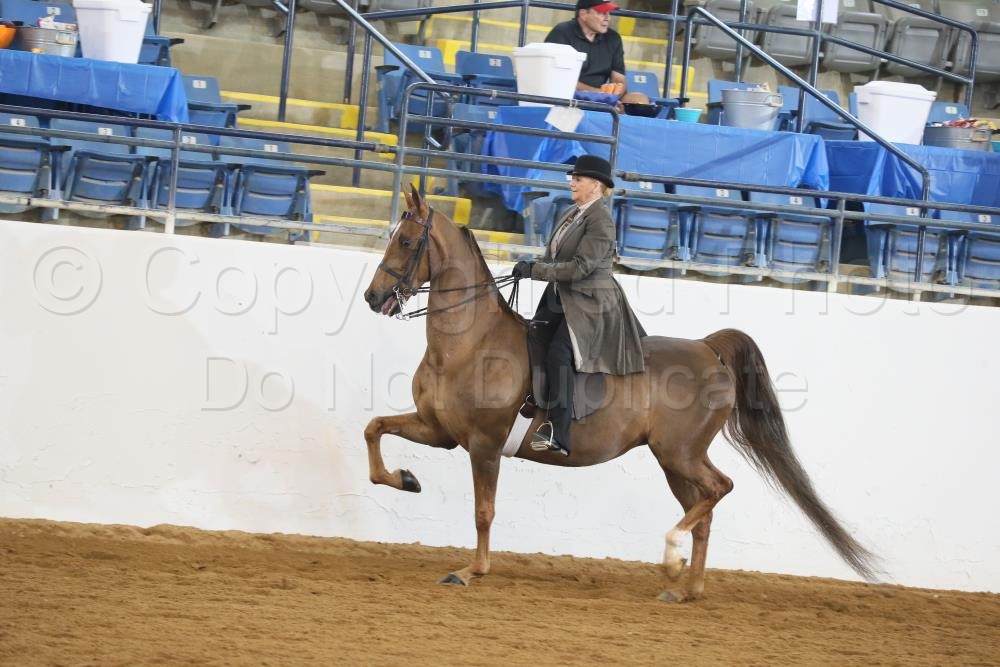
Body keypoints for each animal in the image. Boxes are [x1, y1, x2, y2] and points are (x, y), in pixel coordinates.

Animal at [361, 186, 877, 601]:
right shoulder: (440, 431)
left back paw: (672, 558)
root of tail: (708, 349)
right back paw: (686, 588)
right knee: (704, 509)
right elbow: (374, 429)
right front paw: (405, 479)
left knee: (719, 489)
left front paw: (471, 571)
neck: (471, 342)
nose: (373, 297)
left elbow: (483, 512)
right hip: (673, 461)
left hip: (680, 453)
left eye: (406, 241)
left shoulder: (484, 445)